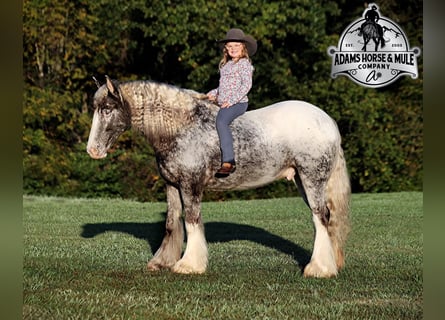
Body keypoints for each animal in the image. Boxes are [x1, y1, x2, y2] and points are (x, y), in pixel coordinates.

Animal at [87, 75, 350, 278]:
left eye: (107, 109)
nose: (93, 150)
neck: (181, 127)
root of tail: (327, 121)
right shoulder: (172, 185)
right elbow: (172, 223)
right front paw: (162, 262)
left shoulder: (191, 185)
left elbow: (192, 220)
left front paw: (189, 265)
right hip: (301, 181)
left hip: (312, 179)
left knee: (320, 217)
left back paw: (319, 269)